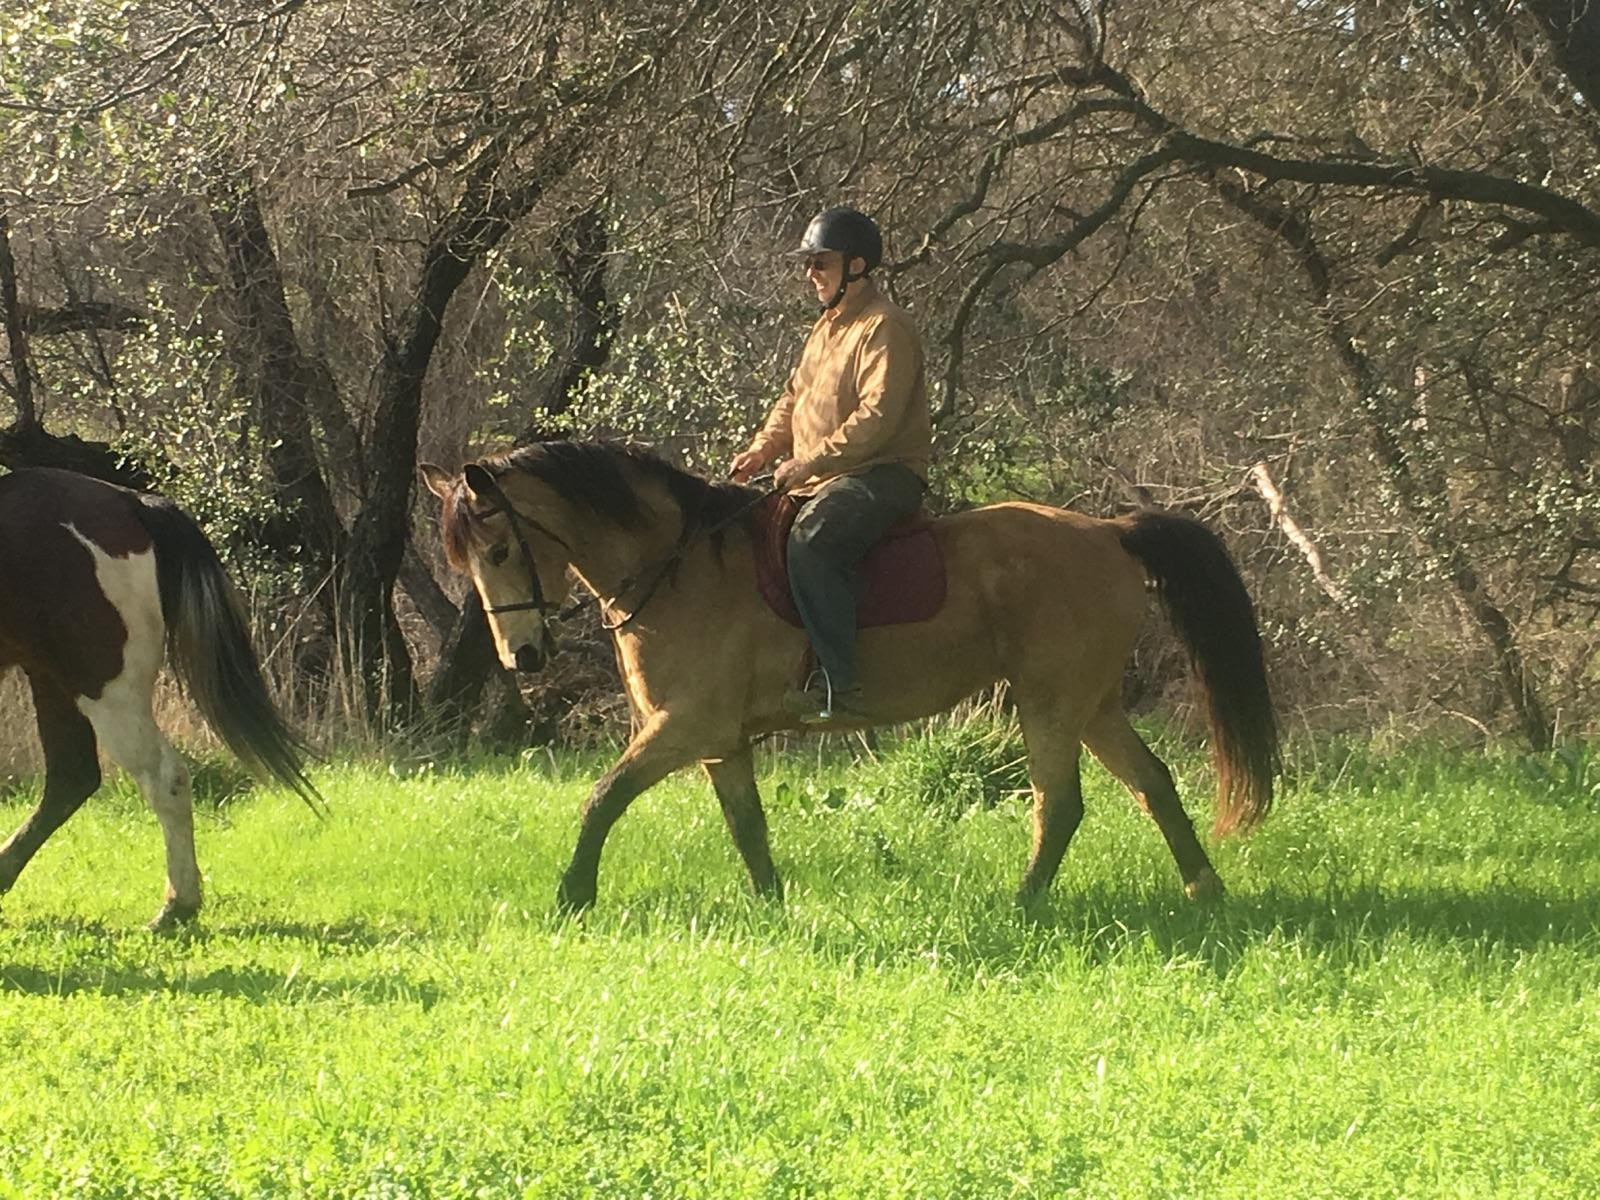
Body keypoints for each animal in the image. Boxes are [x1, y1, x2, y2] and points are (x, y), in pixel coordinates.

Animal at [0, 467, 322, 929]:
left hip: (104, 687)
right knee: (71, 778)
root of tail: (131, 502)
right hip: (52, 677)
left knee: (162, 777)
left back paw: (177, 905)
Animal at [421, 441, 1279, 914]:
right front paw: (772, 908)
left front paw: (572, 896)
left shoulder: (683, 727)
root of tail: (1110, 531)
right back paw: (1205, 892)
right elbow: (748, 827)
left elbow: (602, 798)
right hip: (1090, 705)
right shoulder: (719, 741)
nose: (522, 658)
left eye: (499, 550)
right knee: (1153, 784)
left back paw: (1025, 902)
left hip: (1050, 703)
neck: (678, 567)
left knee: (1060, 805)